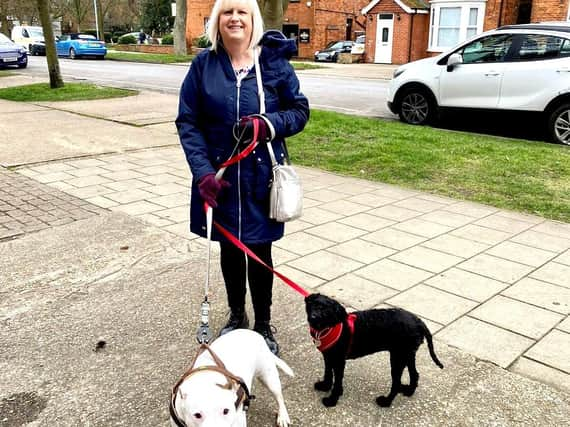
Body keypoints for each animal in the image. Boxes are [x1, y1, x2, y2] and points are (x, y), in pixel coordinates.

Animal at [304, 294, 442, 408]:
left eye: (326, 310)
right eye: (312, 306)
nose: (313, 317)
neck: (329, 327)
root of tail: (419, 322)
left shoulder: (339, 361)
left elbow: (337, 382)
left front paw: (332, 400)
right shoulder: (328, 357)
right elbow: (328, 373)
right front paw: (325, 386)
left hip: (398, 357)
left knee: (397, 383)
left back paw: (386, 402)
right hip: (407, 355)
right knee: (415, 374)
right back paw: (409, 392)